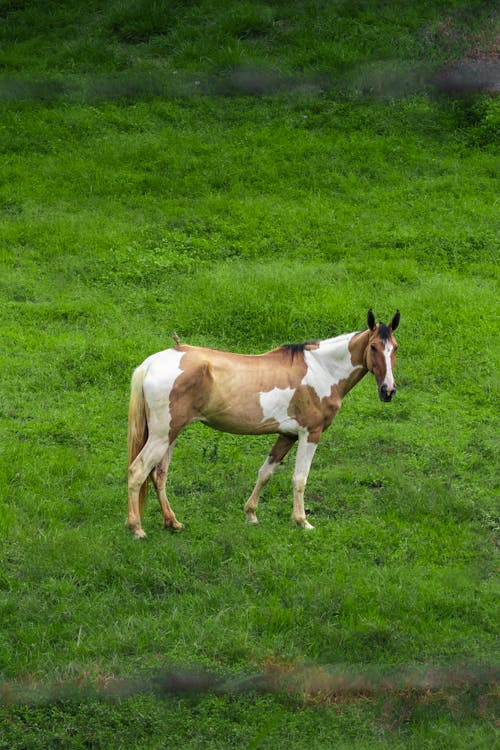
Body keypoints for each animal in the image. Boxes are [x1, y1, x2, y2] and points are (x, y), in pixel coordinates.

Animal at [127, 308, 400, 536]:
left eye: (395, 348)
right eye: (374, 347)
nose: (388, 390)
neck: (322, 371)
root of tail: (151, 363)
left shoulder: (287, 435)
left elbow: (266, 473)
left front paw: (251, 514)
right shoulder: (310, 433)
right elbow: (300, 478)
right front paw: (302, 521)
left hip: (170, 436)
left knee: (159, 475)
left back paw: (172, 522)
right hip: (162, 435)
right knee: (137, 471)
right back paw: (137, 528)